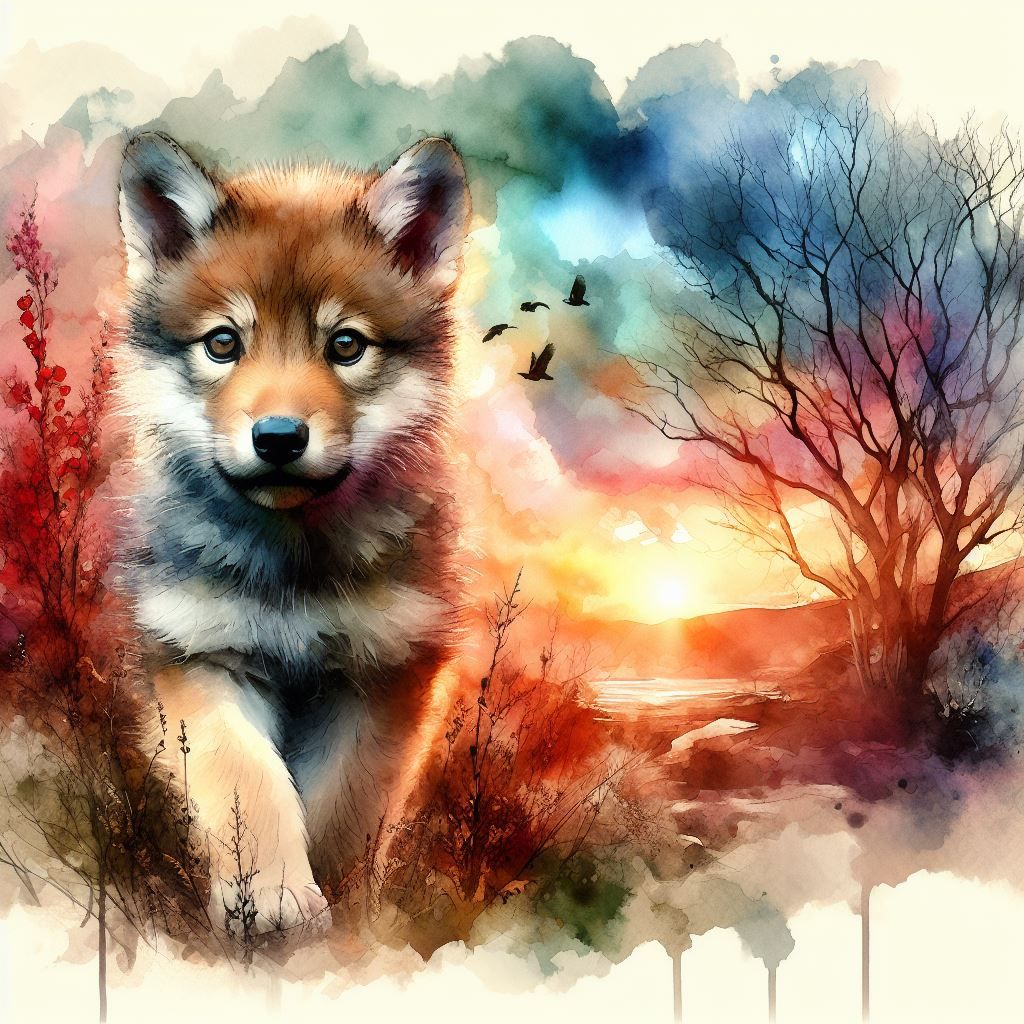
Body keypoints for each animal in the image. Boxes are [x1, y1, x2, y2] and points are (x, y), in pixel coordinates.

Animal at [116, 130, 470, 929]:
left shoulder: (381, 674)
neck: (292, 569)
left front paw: (338, 906)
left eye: (345, 346)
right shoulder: (202, 657)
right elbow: (247, 783)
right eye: (223, 344)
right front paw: (270, 897)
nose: (278, 436)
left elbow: (340, 804)